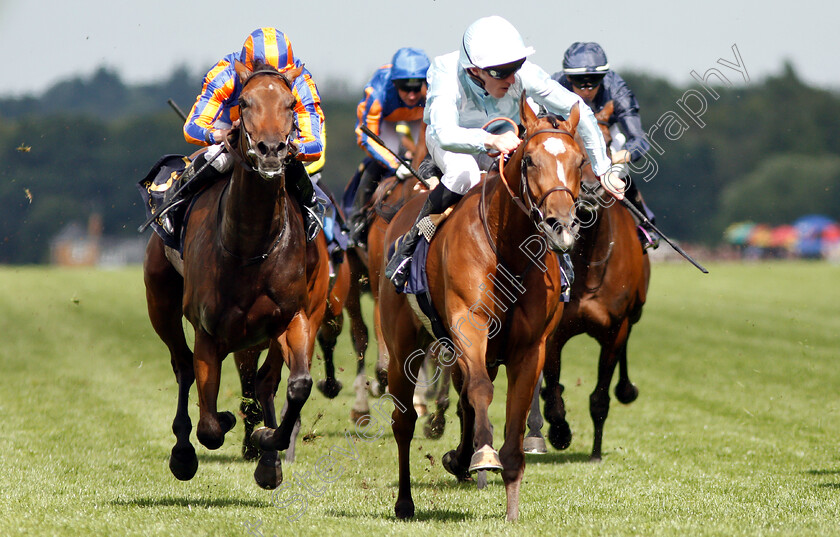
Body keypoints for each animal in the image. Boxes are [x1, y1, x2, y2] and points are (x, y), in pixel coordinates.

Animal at [141, 60, 328, 488]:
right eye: (244, 102)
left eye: (291, 104)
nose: (272, 150)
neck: (250, 245)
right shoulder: (208, 330)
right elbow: (210, 424)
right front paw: (223, 425)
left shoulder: (293, 317)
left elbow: (298, 386)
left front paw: (267, 441)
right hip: (161, 303)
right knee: (182, 366)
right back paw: (182, 452)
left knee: (267, 381)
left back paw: (268, 457)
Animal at [378, 96, 584, 520]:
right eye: (530, 160)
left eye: (580, 161)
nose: (562, 225)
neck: (510, 250)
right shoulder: (469, 325)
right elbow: (480, 390)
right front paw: (484, 454)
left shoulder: (530, 348)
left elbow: (515, 415)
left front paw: (511, 503)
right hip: (402, 344)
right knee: (404, 421)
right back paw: (405, 501)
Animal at [528, 101, 652, 460]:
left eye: (604, 144)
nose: (590, 193)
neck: (590, 263)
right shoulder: (555, 332)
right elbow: (553, 393)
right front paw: (558, 432)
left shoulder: (615, 329)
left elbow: (600, 396)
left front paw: (595, 452)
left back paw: (626, 388)